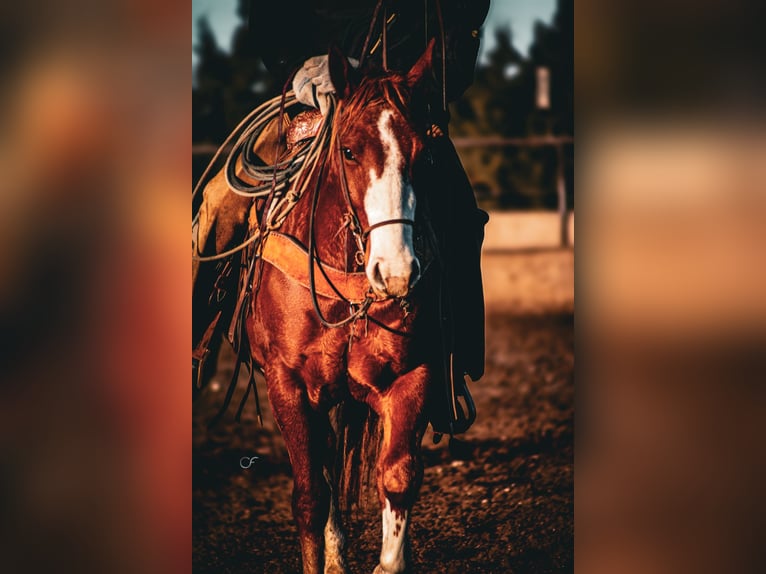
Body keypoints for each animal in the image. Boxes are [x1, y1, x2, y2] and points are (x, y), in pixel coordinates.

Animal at [248, 42, 444, 572]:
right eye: (350, 151)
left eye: (424, 153)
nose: (397, 272)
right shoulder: (289, 385)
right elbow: (311, 496)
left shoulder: (412, 375)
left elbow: (398, 478)